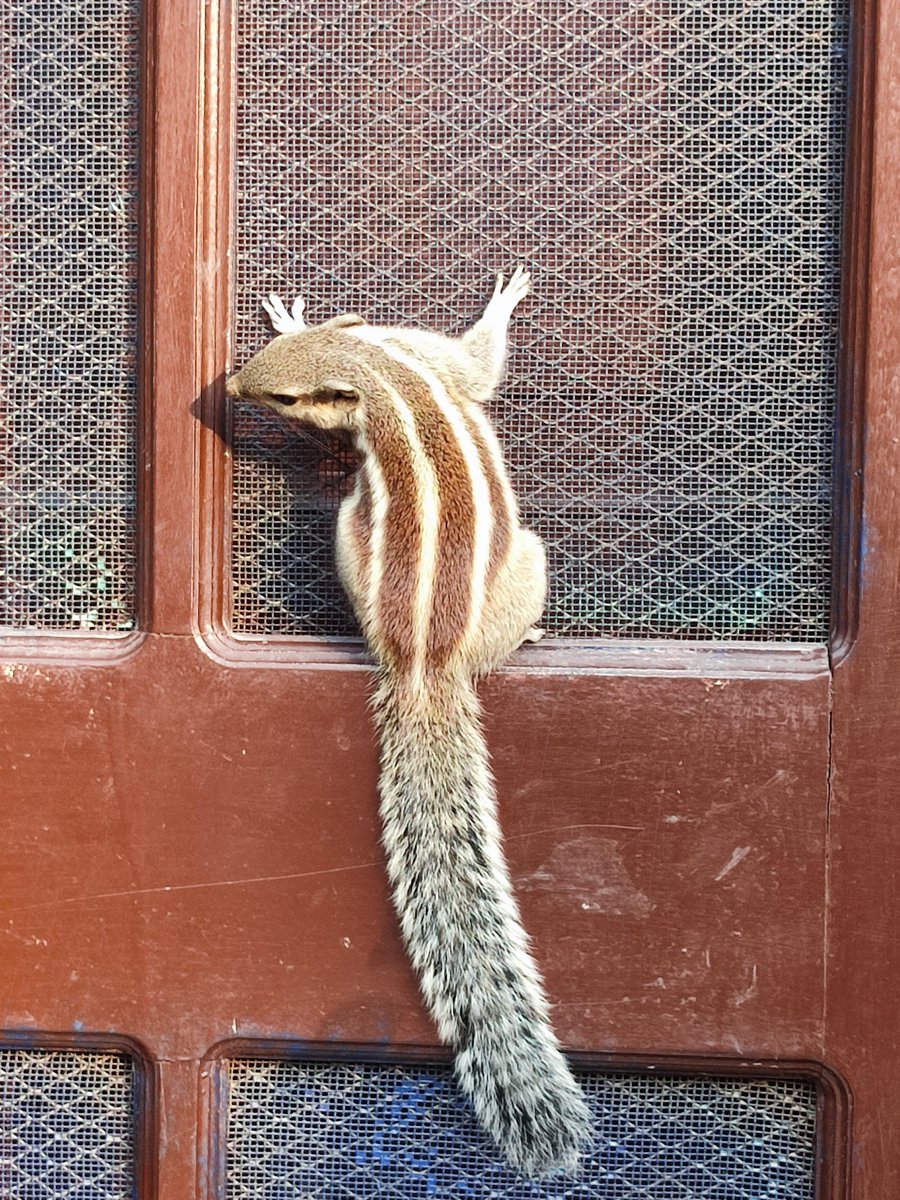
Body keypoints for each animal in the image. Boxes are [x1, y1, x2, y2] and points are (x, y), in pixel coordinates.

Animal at [226, 269, 592, 1176]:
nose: (231, 388)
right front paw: (503, 303)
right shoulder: (439, 363)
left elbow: (475, 363)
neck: (382, 368)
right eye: (264, 375)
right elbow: (483, 363)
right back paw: (533, 630)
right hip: (527, 559)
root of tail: (424, 667)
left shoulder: (418, 354)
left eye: (281, 392)